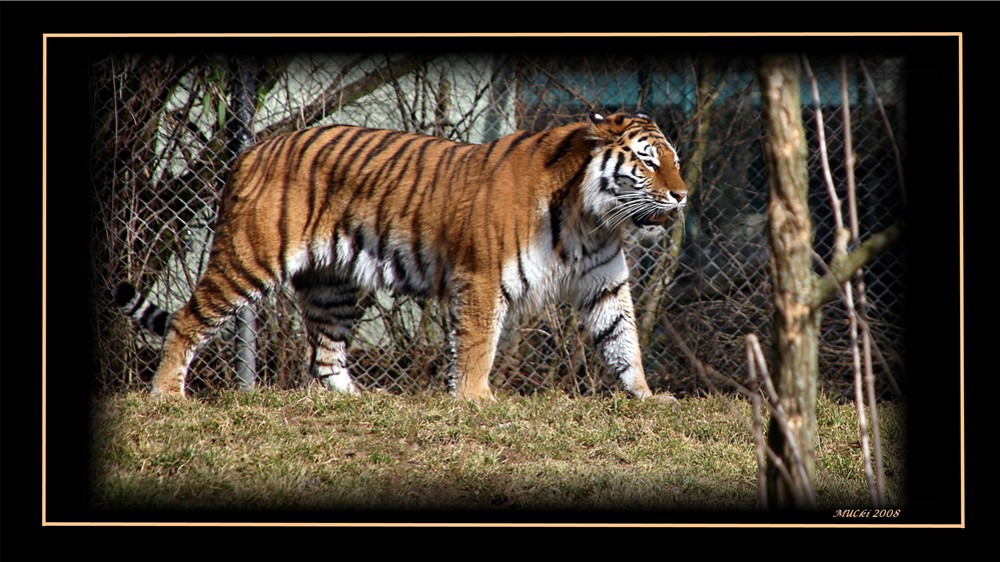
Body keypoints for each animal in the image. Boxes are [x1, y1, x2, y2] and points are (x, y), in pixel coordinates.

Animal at [113, 110, 684, 398]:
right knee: (188, 320)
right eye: (649, 162)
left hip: (333, 285)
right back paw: (167, 395)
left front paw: (647, 396)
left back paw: (359, 402)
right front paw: (475, 401)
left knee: (324, 356)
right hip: (248, 258)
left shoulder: (604, 282)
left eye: (675, 161)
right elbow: (477, 345)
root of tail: (252, 149)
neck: (591, 217)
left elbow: (623, 341)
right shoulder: (482, 278)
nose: (682, 195)